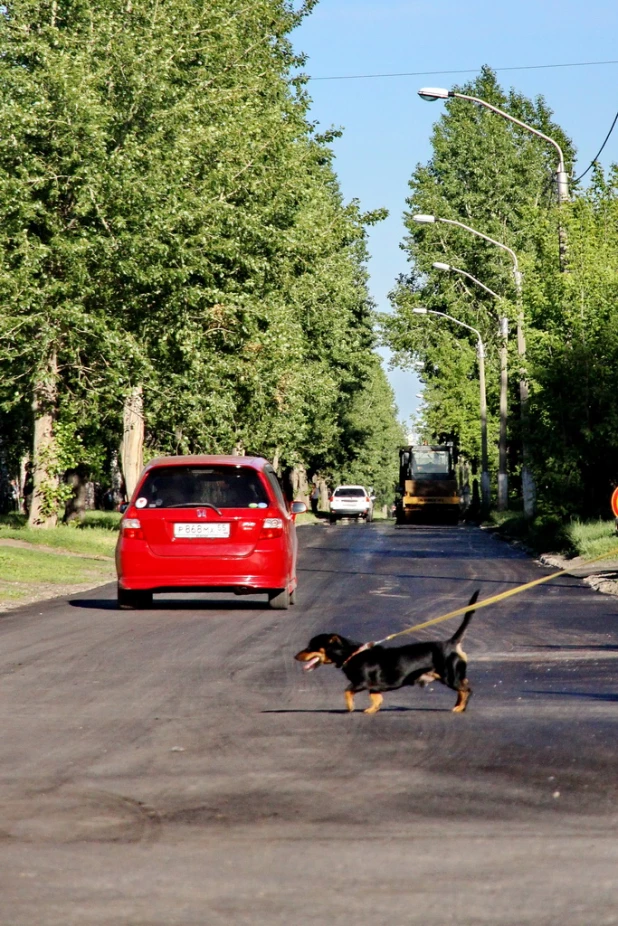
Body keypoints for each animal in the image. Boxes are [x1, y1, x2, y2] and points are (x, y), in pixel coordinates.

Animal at [296, 592, 478, 716]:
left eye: (310, 647)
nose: (295, 656)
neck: (352, 653)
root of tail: (452, 642)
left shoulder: (360, 683)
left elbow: (347, 691)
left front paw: (350, 707)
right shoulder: (374, 688)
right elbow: (377, 700)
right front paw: (371, 710)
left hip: (450, 677)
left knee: (467, 690)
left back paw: (460, 707)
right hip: (454, 676)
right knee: (463, 688)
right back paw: (459, 706)